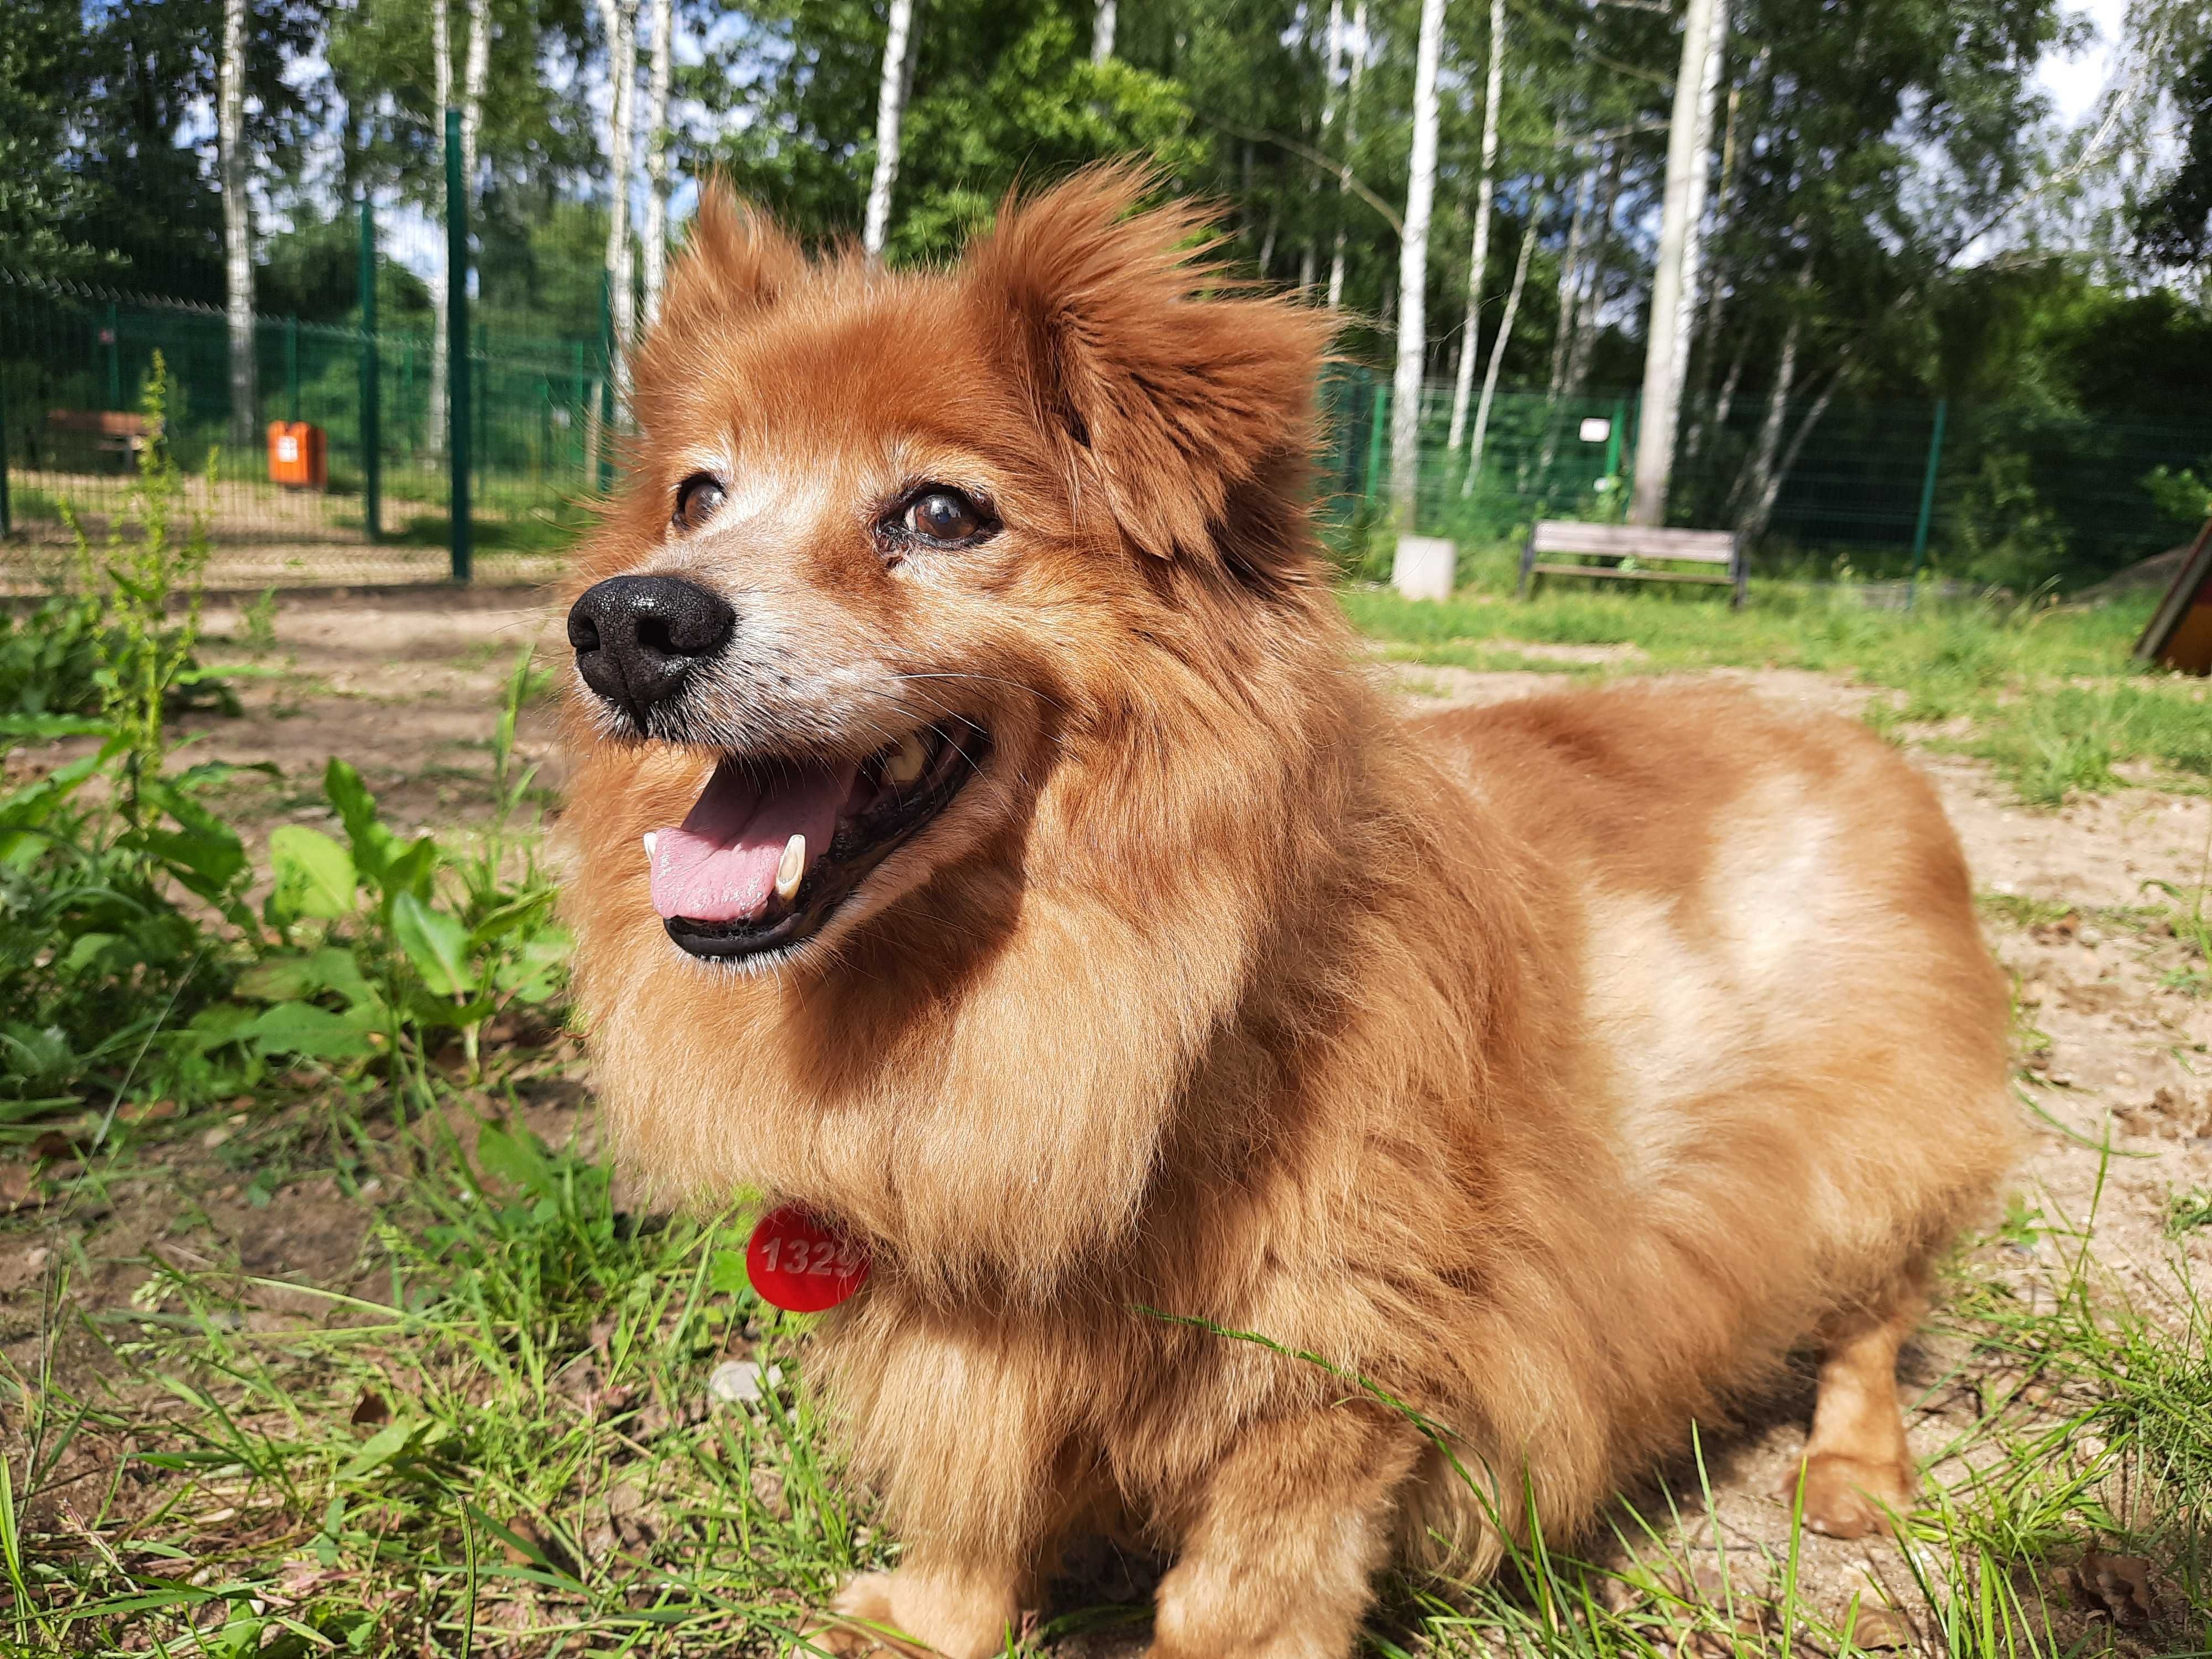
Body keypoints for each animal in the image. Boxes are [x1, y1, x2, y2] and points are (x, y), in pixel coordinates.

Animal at [562, 169, 2017, 1659]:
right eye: (695, 498)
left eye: (940, 514)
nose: (626, 623)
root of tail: (1862, 745)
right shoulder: (961, 1308)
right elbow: (972, 1491)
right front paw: (926, 1619)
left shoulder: (1324, 1376)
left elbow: (1236, 1593)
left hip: (1861, 1163)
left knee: (1872, 1322)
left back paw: (1852, 1471)